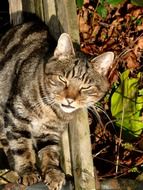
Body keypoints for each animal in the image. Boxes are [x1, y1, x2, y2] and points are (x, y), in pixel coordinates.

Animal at [0, 20, 114, 189]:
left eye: (85, 87)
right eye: (62, 79)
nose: (70, 99)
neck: (49, 110)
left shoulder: (50, 132)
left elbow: (50, 151)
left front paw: (53, 173)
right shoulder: (16, 118)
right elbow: (21, 147)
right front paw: (28, 172)